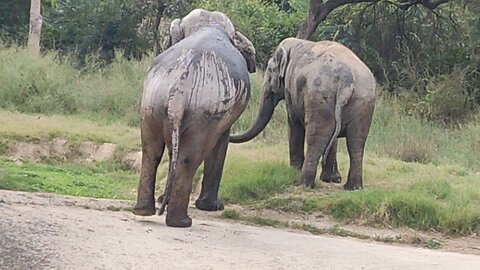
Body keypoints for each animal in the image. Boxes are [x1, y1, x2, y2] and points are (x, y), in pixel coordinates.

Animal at [132, 8, 255, 228]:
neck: (208, 24)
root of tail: (178, 92)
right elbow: (220, 142)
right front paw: (214, 207)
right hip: (203, 114)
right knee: (189, 158)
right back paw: (181, 222)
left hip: (152, 103)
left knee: (151, 151)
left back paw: (144, 211)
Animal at [230, 38, 376, 190]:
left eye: (270, 70)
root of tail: (346, 79)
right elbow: (333, 136)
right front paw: (332, 179)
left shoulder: (290, 88)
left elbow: (294, 123)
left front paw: (293, 171)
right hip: (363, 101)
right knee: (356, 142)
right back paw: (353, 187)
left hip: (319, 98)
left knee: (316, 138)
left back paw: (303, 183)